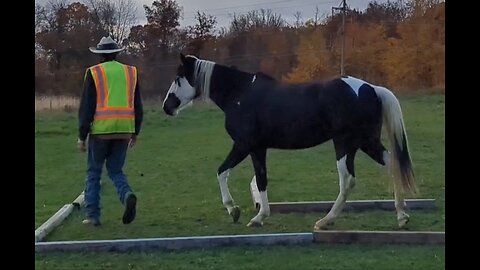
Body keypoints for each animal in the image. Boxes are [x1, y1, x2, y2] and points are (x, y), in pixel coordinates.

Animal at [162, 53, 416, 230]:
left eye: (178, 77)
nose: (167, 106)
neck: (240, 94)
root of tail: (371, 88)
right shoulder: (255, 148)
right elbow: (238, 174)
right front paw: (241, 212)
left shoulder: (247, 146)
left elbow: (238, 175)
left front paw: (248, 214)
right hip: (365, 143)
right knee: (393, 164)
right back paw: (402, 216)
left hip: (345, 145)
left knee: (347, 181)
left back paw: (325, 221)